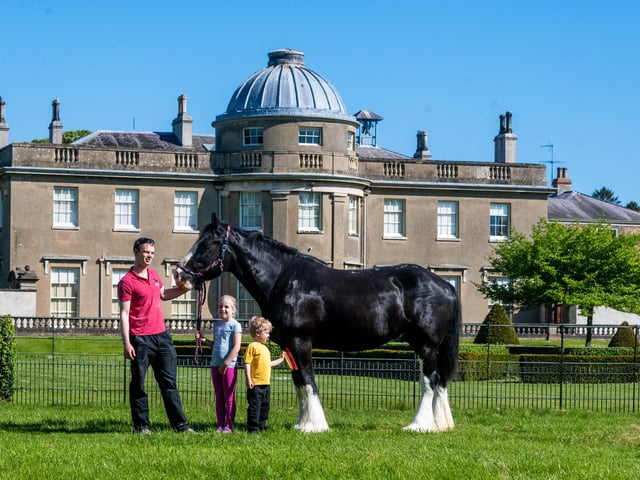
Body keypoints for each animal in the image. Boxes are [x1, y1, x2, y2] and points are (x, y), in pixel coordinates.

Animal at [176, 213, 461, 433]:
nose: (180, 274)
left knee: (430, 380)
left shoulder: (302, 343)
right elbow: (299, 383)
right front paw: (301, 424)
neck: (283, 279)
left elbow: (309, 381)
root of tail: (444, 284)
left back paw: (418, 425)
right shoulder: (289, 346)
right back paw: (440, 424)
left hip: (426, 346)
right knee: (440, 382)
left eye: (206, 244)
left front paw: (314, 425)